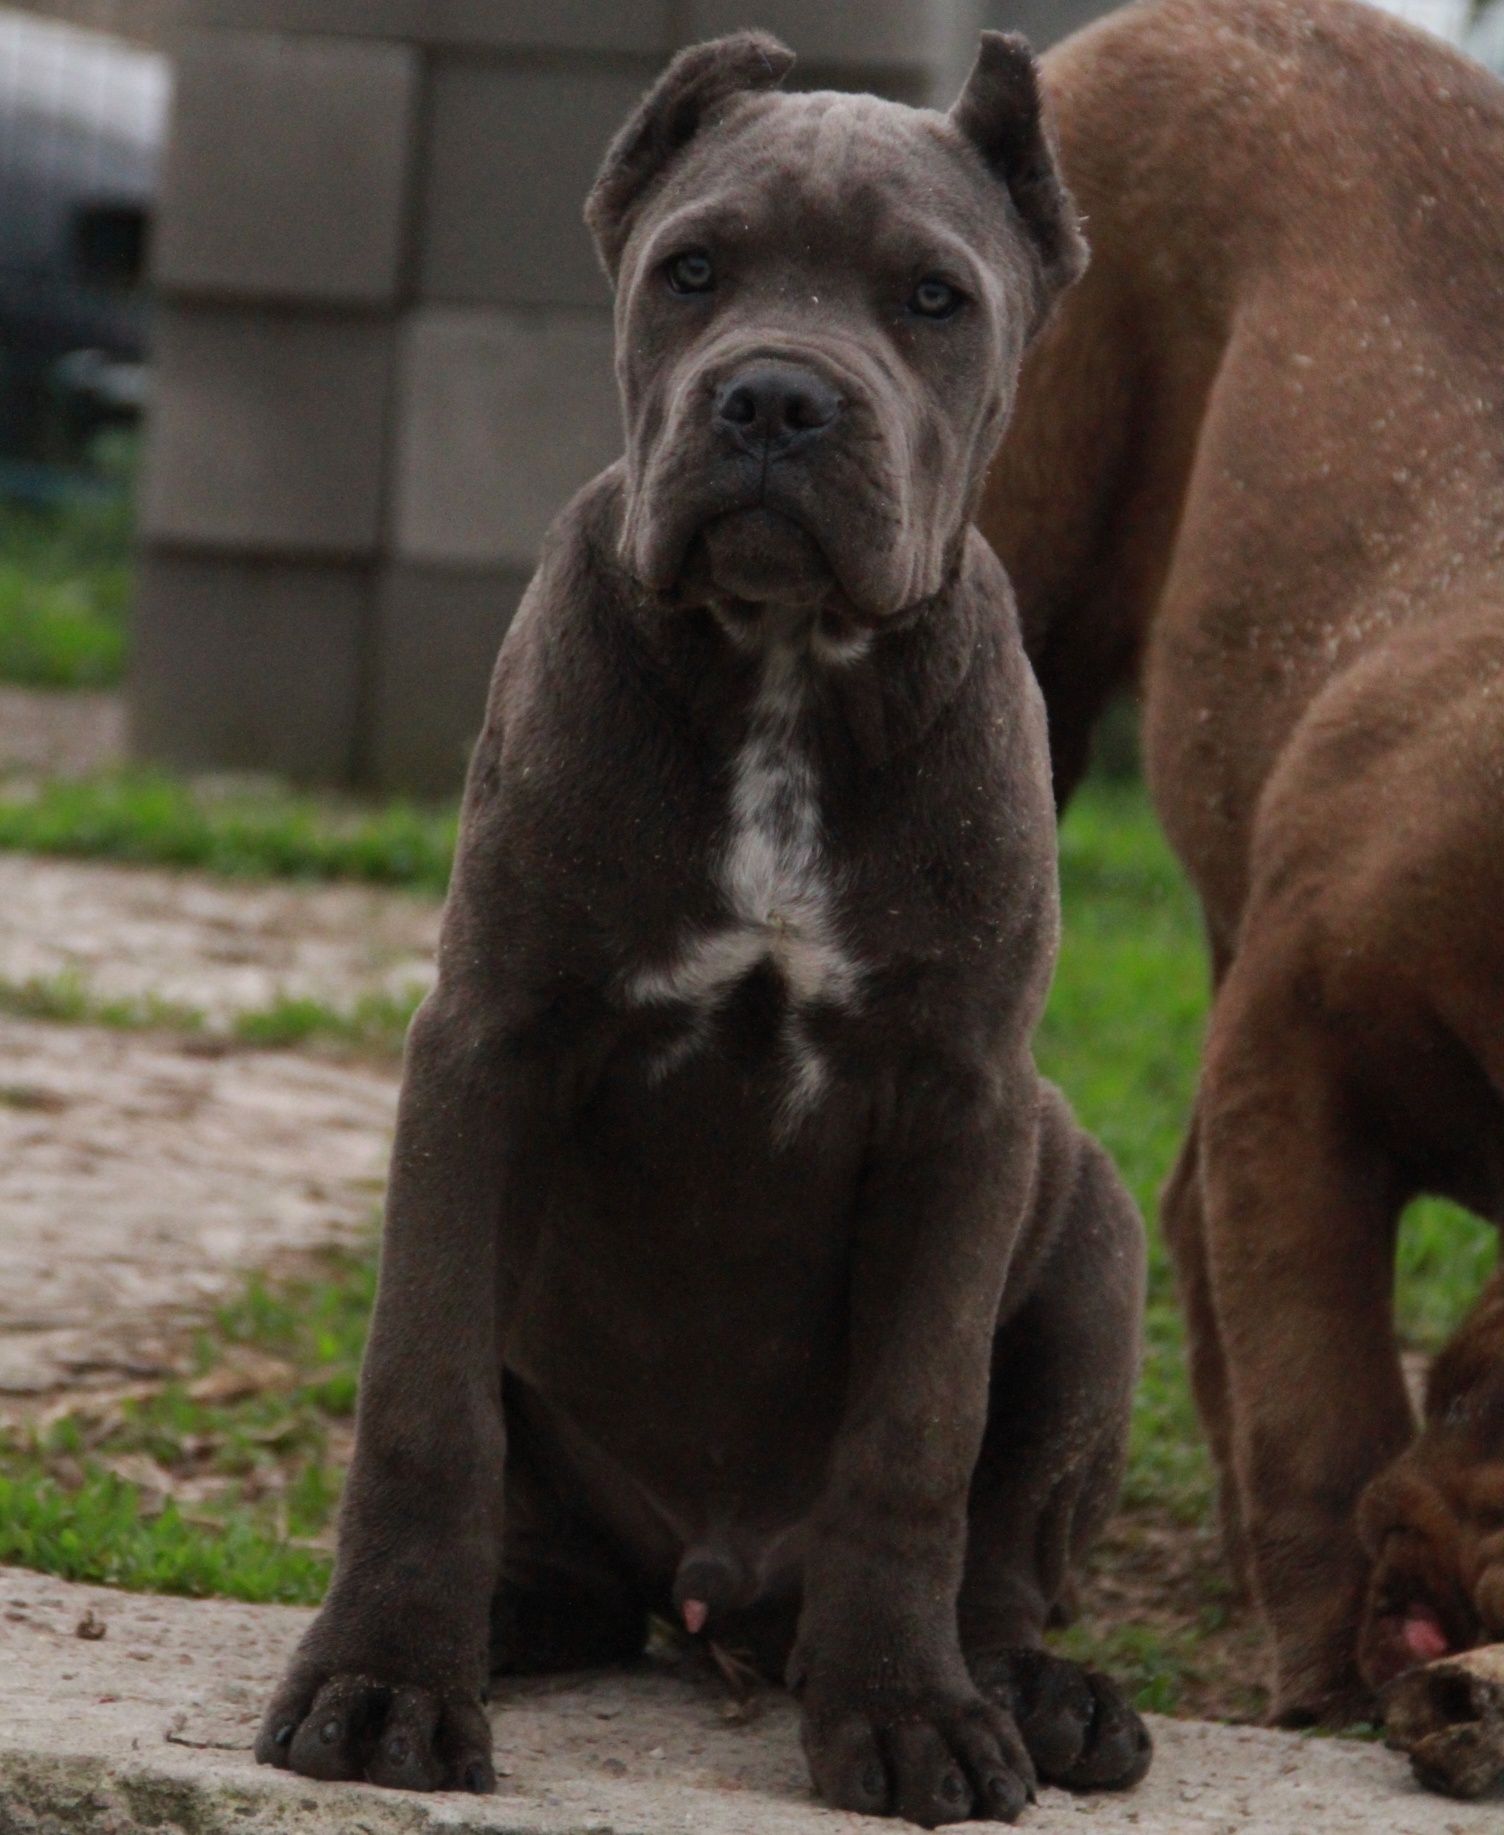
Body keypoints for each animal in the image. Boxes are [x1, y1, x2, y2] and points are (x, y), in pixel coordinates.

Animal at [254, 25, 1151, 1820]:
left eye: (933, 298)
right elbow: (423, 1392)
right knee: (543, 1521)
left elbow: (917, 1434)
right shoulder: (488, 1044)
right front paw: (384, 1678)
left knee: (1012, 1538)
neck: (783, 669)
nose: (776, 397)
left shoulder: (965, 1101)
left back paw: (1030, 1690)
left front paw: (904, 1709)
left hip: (1090, 1221)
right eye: (691, 271)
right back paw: (501, 1611)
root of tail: (715, 1588)